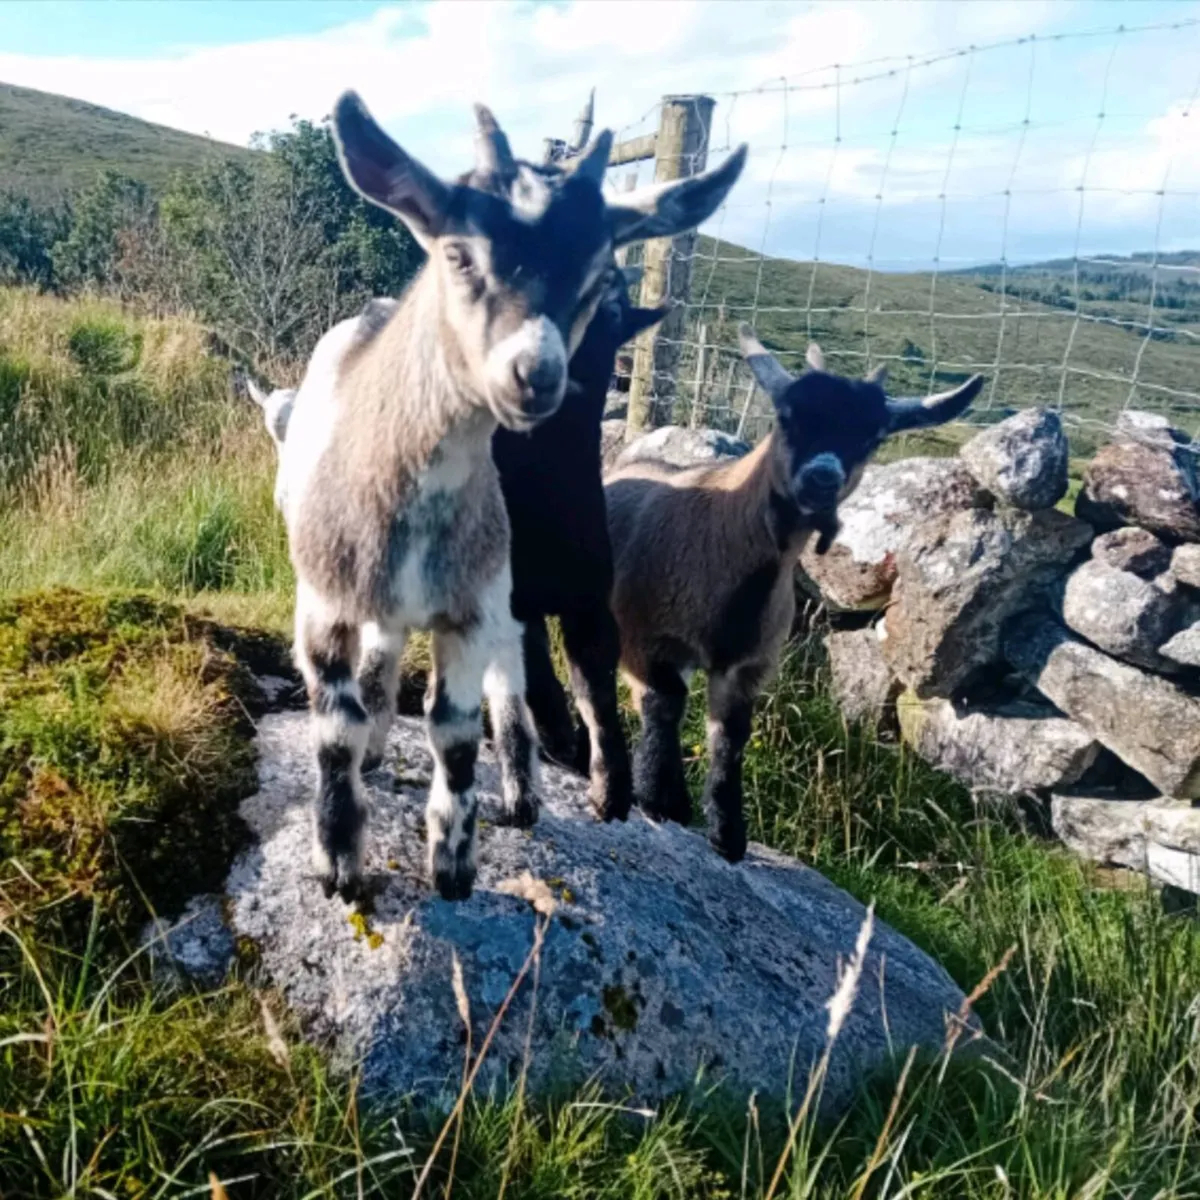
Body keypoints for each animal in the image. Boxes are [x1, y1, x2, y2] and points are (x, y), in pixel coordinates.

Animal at [604, 326, 983, 862]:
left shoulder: (749, 666)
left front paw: (727, 834)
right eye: (787, 417)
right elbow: (664, 703)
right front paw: (661, 799)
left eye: (871, 437)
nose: (822, 477)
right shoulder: (645, 637)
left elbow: (731, 738)